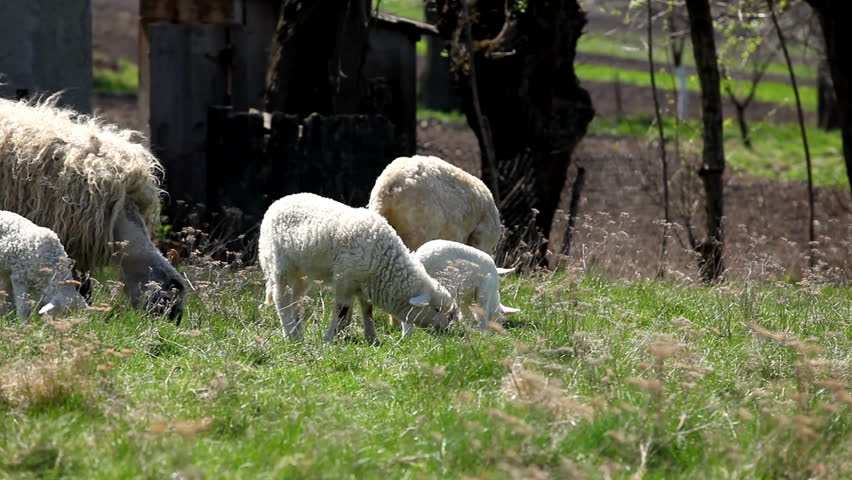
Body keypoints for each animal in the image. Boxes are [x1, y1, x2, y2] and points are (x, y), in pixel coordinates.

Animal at [258, 192, 458, 343]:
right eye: (436, 309)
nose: (447, 332)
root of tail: (277, 203)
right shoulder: (344, 280)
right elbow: (342, 311)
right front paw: (330, 338)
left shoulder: (363, 283)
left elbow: (367, 310)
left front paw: (371, 339)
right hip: (280, 264)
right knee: (282, 298)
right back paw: (290, 335)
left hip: (301, 272)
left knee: (295, 300)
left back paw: (298, 334)